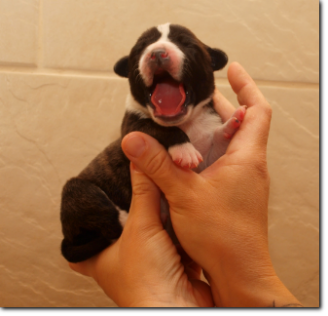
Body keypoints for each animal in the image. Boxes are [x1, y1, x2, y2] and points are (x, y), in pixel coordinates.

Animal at [60, 23, 245, 262]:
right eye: (140, 48)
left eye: (186, 43)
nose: (157, 53)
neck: (187, 123)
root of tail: (69, 239)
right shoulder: (132, 129)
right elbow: (162, 129)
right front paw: (184, 149)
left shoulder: (208, 159)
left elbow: (217, 142)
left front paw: (232, 123)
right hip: (78, 192)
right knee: (109, 222)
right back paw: (126, 218)